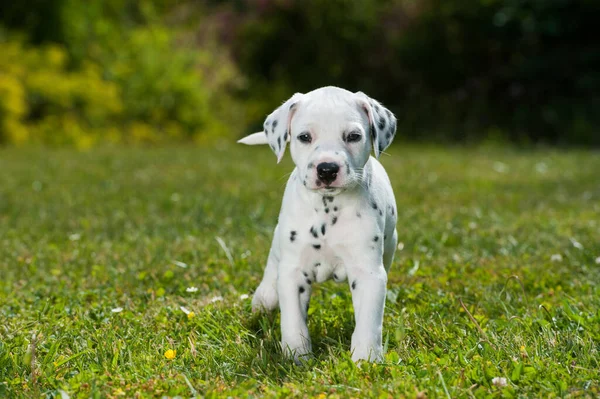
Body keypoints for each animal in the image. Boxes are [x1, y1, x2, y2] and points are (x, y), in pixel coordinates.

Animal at [239, 86, 398, 364]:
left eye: (353, 136)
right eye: (304, 137)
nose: (327, 169)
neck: (327, 209)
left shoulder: (369, 273)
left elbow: (368, 321)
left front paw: (366, 359)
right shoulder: (293, 274)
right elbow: (294, 322)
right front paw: (296, 357)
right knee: (270, 282)